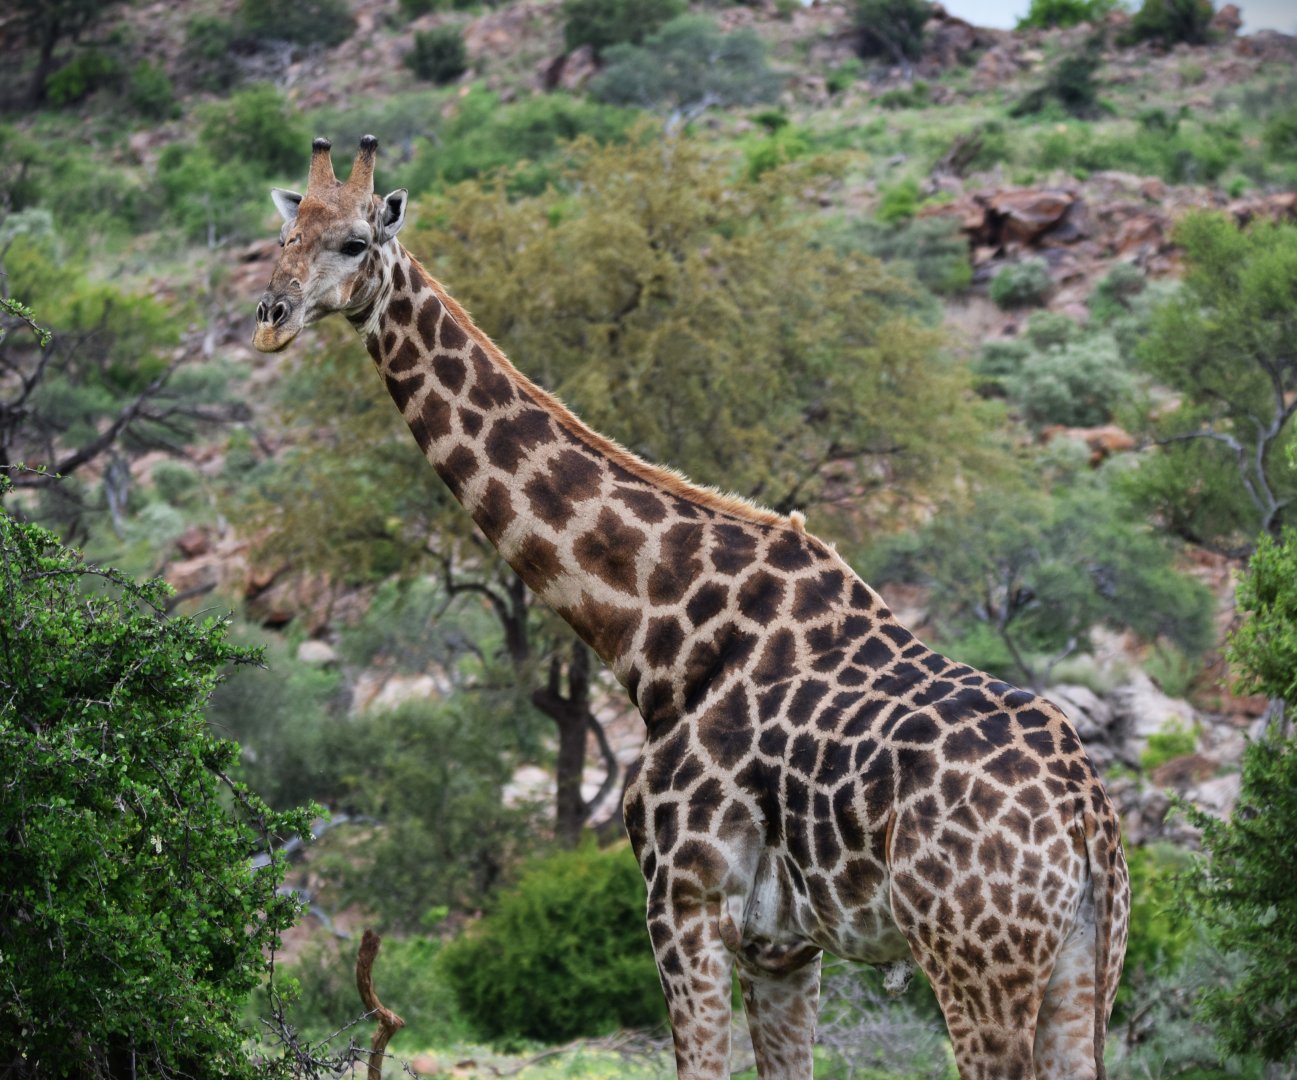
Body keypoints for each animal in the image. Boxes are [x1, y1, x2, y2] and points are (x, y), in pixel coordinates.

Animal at [253, 135, 1130, 1080]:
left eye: (354, 243)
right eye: (284, 234)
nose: (269, 316)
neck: (656, 628)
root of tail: (1085, 820)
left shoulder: (684, 898)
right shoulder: (783, 943)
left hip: (973, 960)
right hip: (1084, 967)